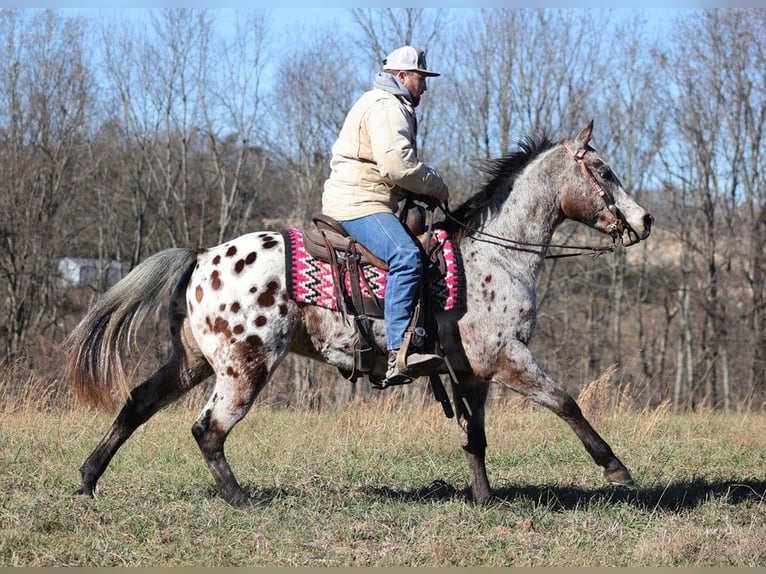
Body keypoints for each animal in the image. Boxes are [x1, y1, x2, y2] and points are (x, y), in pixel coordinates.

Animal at [63, 121, 656, 508]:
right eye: (604, 170)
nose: (645, 220)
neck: (493, 256)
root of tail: (202, 256)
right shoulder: (507, 358)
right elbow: (566, 404)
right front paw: (618, 471)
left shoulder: (470, 374)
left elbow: (475, 438)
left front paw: (486, 500)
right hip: (243, 367)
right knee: (207, 429)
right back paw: (242, 500)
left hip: (191, 361)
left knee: (138, 403)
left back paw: (88, 480)